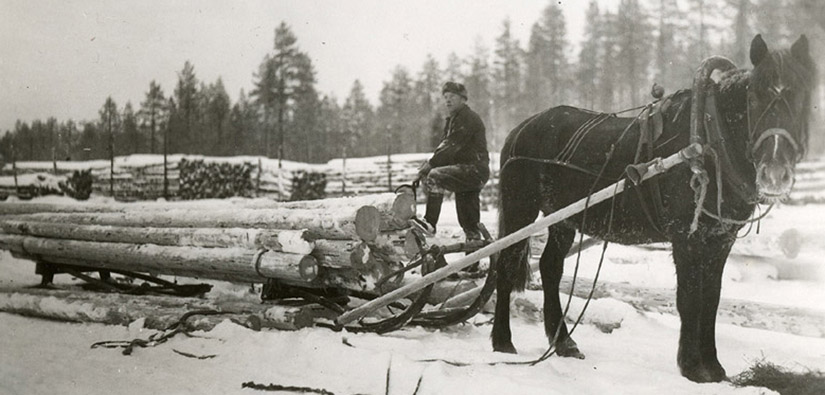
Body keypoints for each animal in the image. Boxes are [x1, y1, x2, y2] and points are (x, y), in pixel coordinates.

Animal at [492, 34, 816, 384]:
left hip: (563, 218)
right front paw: (691, 367)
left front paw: (714, 367)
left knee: (551, 267)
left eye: (802, 94)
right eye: (754, 97)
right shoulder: (686, 237)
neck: (707, 141)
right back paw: (502, 341)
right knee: (505, 265)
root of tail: (520, 128)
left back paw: (564, 342)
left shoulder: (720, 239)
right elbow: (689, 298)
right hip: (520, 209)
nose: (775, 173)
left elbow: (711, 299)